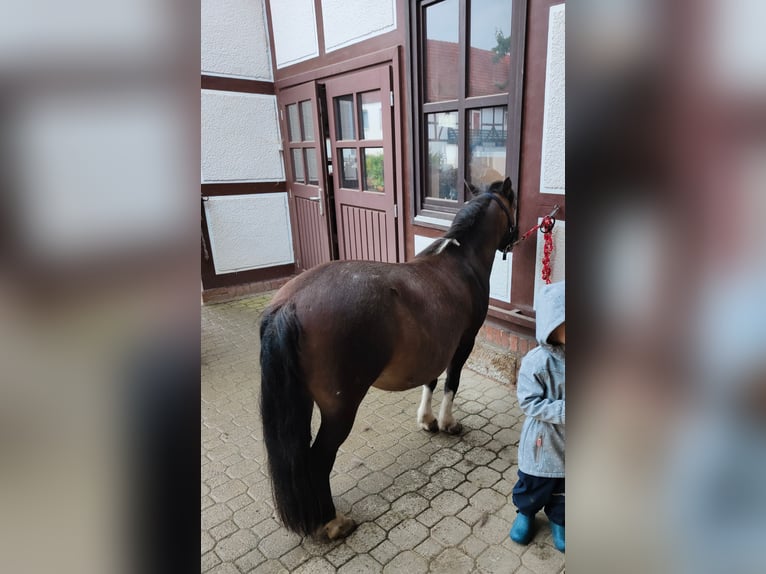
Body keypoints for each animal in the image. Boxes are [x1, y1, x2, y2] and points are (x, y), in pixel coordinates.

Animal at [260, 178, 520, 544]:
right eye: (513, 205)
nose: (517, 236)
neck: (459, 260)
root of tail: (291, 304)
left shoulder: (435, 345)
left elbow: (431, 380)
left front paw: (427, 420)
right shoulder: (464, 343)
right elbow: (451, 382)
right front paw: (448, 423)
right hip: (339, 411)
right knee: (318, 460)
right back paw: (332, 523)